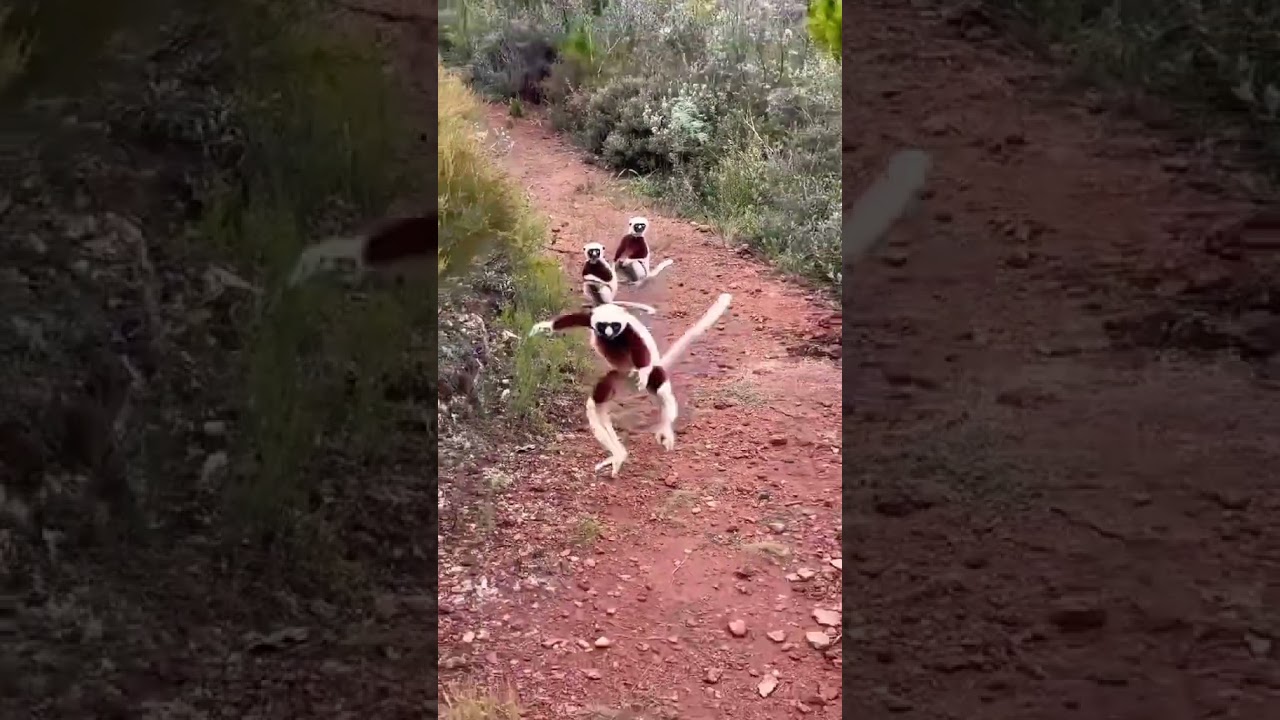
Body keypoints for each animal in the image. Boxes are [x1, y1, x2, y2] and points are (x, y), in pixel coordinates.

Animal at [527, 293, 732, 477]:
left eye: (615, 325)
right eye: (603, 326)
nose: (609, 333)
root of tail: (626, 376)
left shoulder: (629, 331)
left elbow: (640, 351)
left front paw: (642, 371)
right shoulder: (592, 318)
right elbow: (574, 319)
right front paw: (545, 327)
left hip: (651, 370)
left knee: (659, 386)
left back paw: (664, 427)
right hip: (616, 376)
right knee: (596, 404)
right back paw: (618, 454)